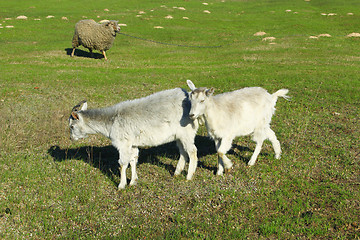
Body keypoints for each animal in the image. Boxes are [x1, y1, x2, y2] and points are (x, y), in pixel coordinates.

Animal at [69, 88, 200, 189]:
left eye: (71, 126)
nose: (71, 138)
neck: (111, 121)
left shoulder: (123, 143)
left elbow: (122, 163)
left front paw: (121, 185)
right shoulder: (132, 144)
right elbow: (133, 160)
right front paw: (133, 182)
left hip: (187, 132)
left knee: (192, 151)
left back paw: (189, 176)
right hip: (179, 136)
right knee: (183, 151)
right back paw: (177, 172)